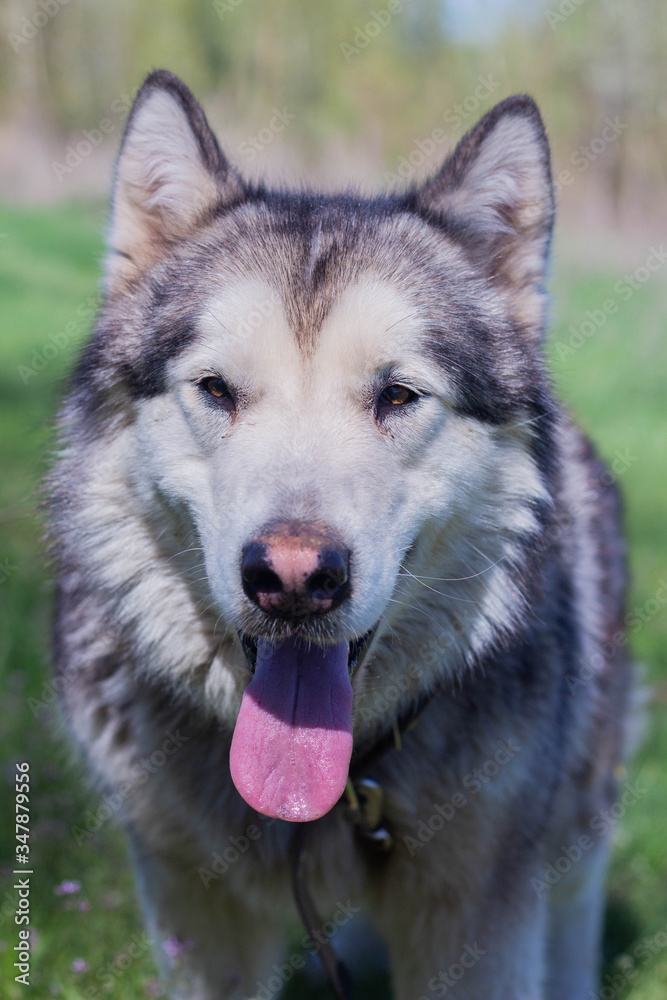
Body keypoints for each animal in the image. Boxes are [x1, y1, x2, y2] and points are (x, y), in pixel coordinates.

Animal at [49, 72, 636, 1000]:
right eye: (216, 389)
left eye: (396, 396)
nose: (293, 578)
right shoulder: (191, 907)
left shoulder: (478, 922)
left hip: (576, 814)